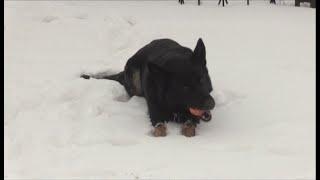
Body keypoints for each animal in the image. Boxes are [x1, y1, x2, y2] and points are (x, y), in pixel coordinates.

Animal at [80, 38, 215, 136]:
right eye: (185, 87)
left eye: (202, 79)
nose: (211, 104)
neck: (174, 105)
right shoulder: (155, 114)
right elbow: (160, 131)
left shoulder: (193, 118)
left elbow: (189, 130)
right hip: (134, 77)